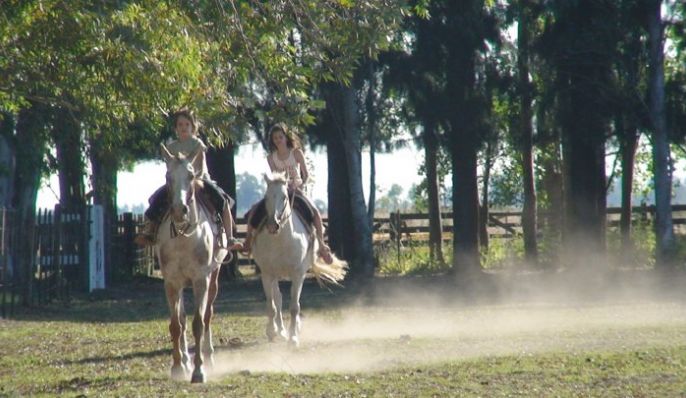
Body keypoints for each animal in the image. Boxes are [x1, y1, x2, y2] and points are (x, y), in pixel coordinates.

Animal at [155, 145, 227, 382]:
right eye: (168, 176)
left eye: (190, 176)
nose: (180, 210)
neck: (183, 238)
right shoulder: (171, 283)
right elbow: (176, 325)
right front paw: (178, 367)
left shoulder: (200, 280)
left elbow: (199, 323)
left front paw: (198, 371)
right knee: (183, 318)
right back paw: (186, 360)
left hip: (214, 277)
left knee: (207, 315)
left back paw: (209, 357)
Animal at [253, 173, 350, 346]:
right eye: (266, 197)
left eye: (284, 197)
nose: (273, 225)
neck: (281, 241)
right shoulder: (267, 274)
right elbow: (271, 305)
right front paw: (272, 332)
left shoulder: (298, 274)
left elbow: (294, 307)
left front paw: (293, 337)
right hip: (274, 276)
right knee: (278, 299)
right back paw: (280, 331)